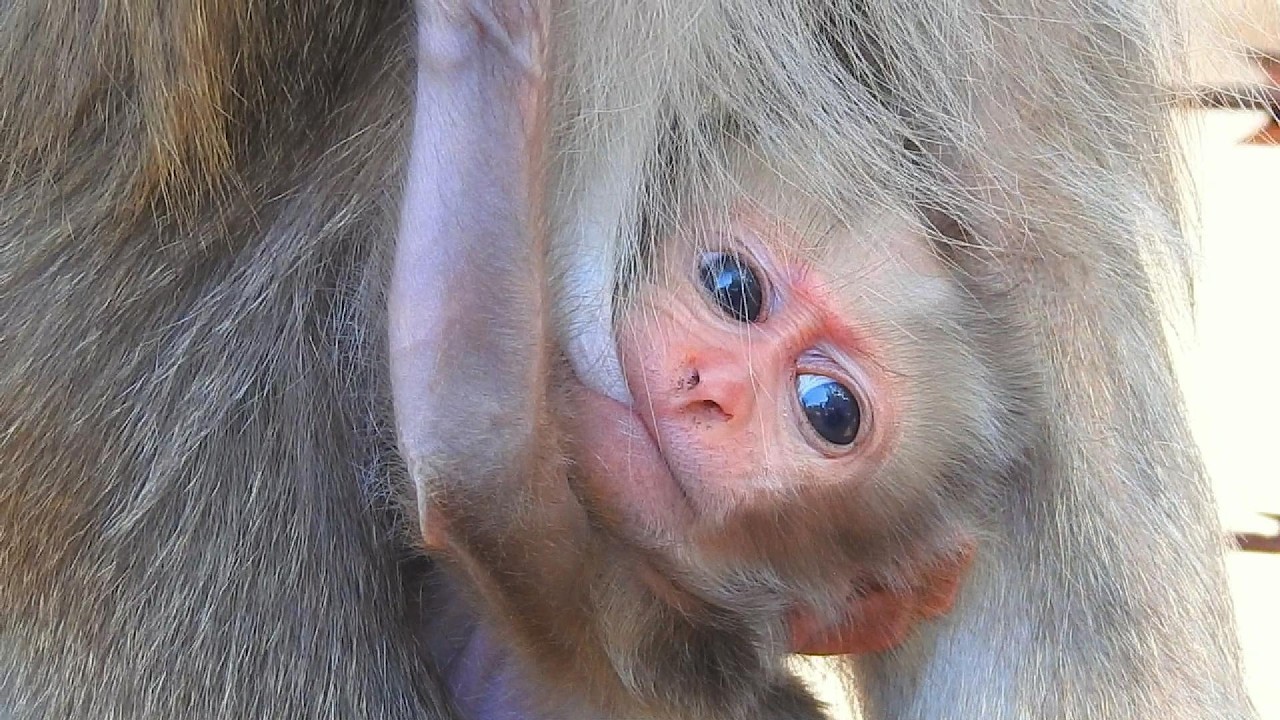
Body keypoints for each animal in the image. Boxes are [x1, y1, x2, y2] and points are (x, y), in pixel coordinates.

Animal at [0, 0, 1259, 720]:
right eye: (730, 288)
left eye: (825, 408)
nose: (707, 390)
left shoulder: (604, 580)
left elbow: (472, 438)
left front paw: (492, 34)